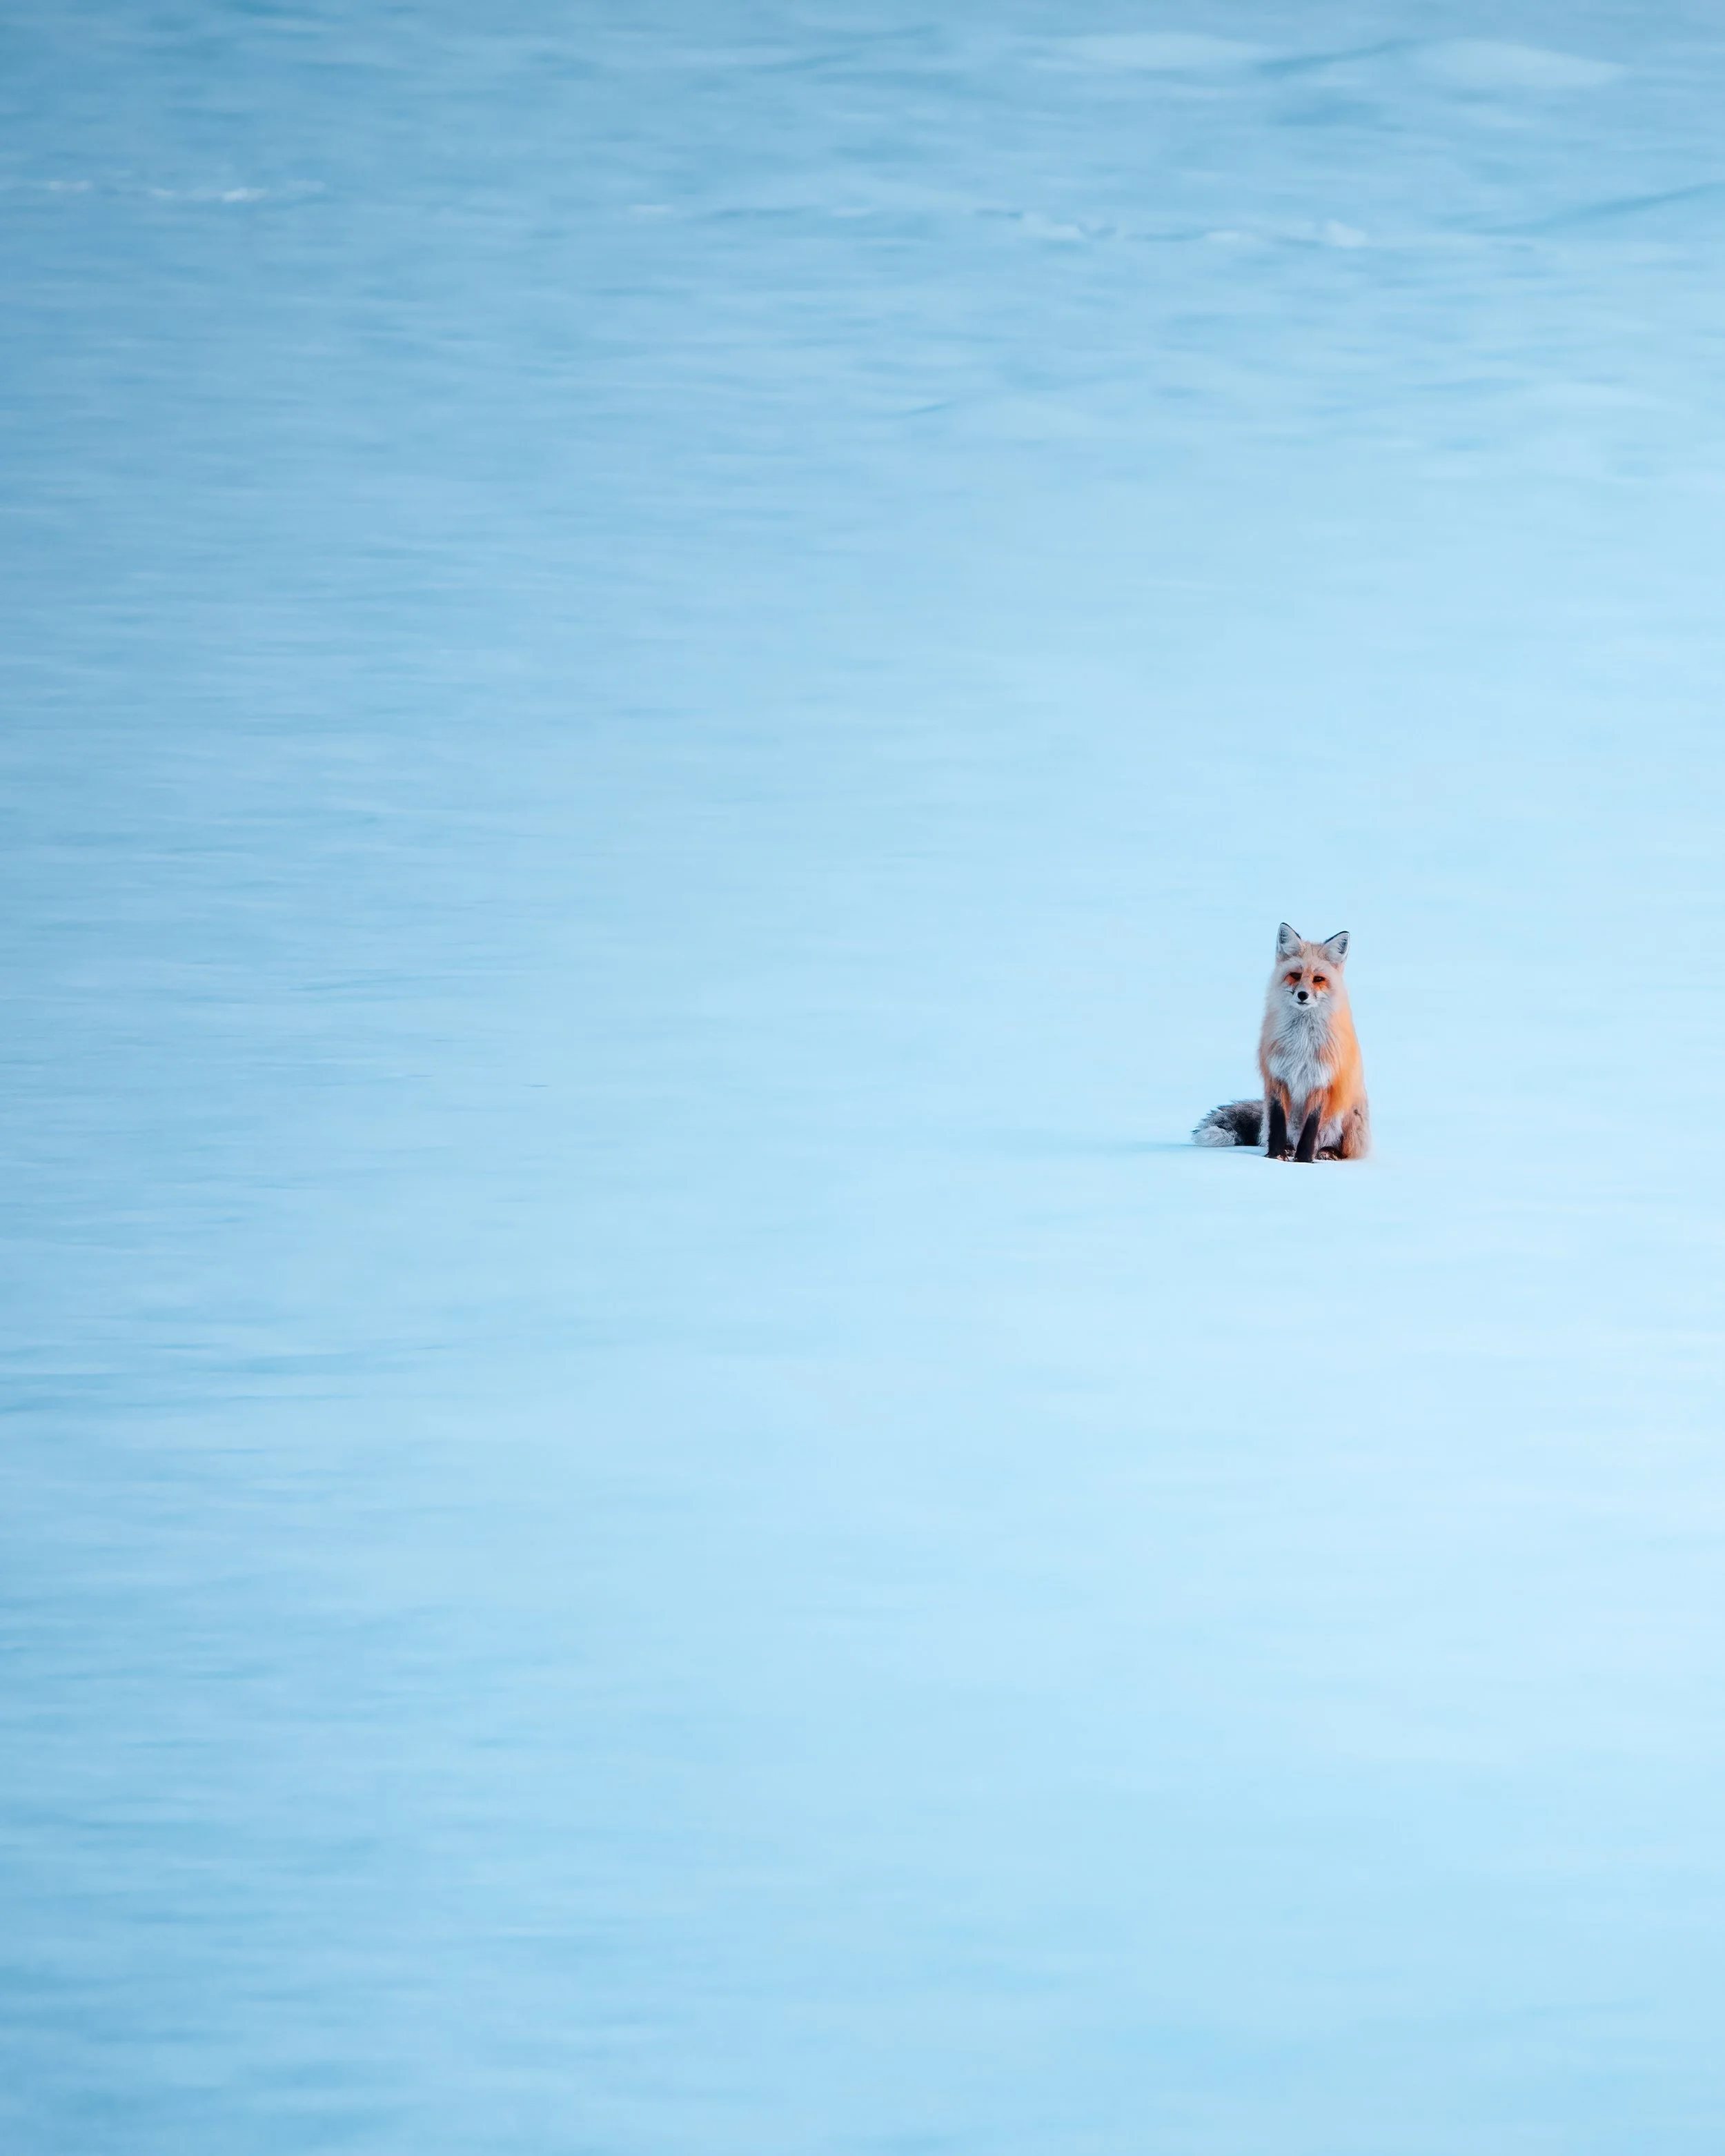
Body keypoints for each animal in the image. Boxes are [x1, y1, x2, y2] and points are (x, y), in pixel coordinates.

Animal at [1193, 923, 1370, 1161]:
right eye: (1295, 975)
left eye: (1318, 979)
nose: (1303, 995)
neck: (1301, 1044)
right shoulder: (1277, 1076)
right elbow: (1278, 1124)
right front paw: (1274, 1157)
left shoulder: (1320, 1079)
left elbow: (1311, 1129)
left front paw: (1303, 1161)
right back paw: (1289, 1149)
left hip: (1348, 1115)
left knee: (1343, 1149)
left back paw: (1328, 1152)